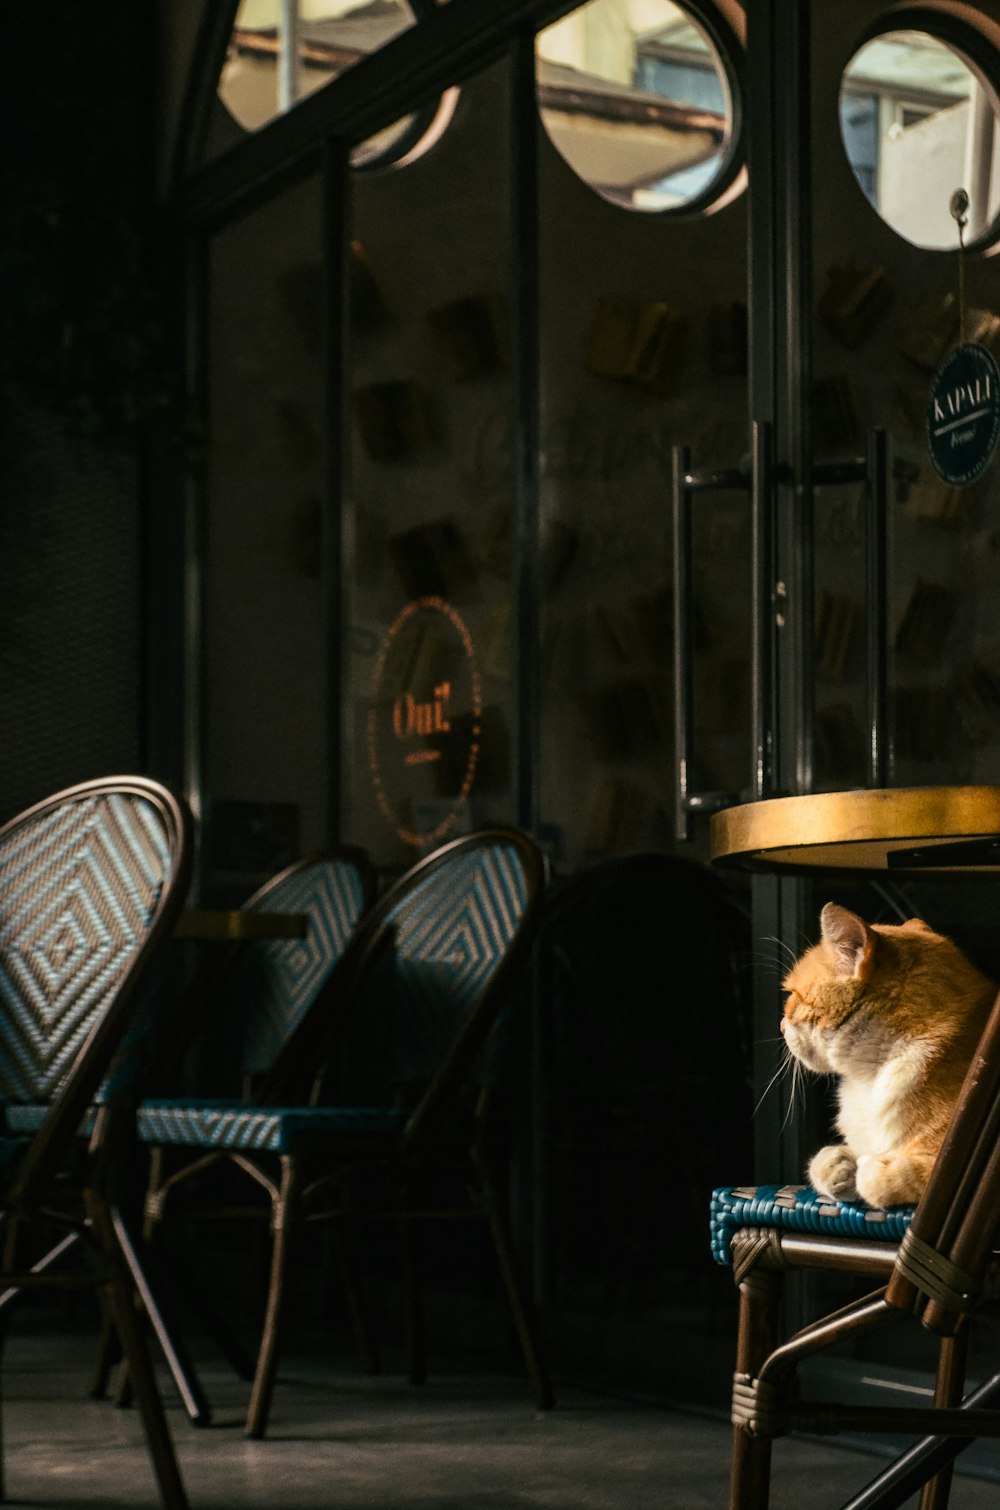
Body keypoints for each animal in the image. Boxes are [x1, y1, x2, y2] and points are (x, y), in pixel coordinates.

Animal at [785, 899, 996, 1208]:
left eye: (792, 997)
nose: (779, 1025)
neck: (867, 1079)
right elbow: (824, 1158)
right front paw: (838, 1166)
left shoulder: (941, 1165)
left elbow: (879, 1179)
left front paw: (866, 1168)